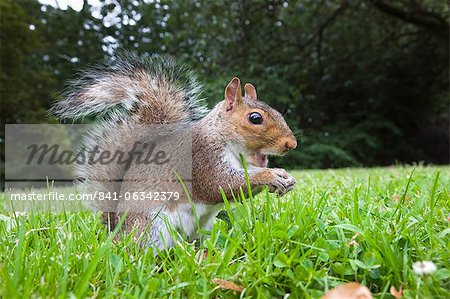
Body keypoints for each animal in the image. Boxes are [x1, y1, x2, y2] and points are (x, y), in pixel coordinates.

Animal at [50, 53, 296, 251]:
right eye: (255, 118)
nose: (291, 144)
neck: (225, 140)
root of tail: (119, 231)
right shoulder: (202, 158)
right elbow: (220, 186)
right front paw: (272, 175)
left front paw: (286, 179)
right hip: (153, 224)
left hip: (200, 227)